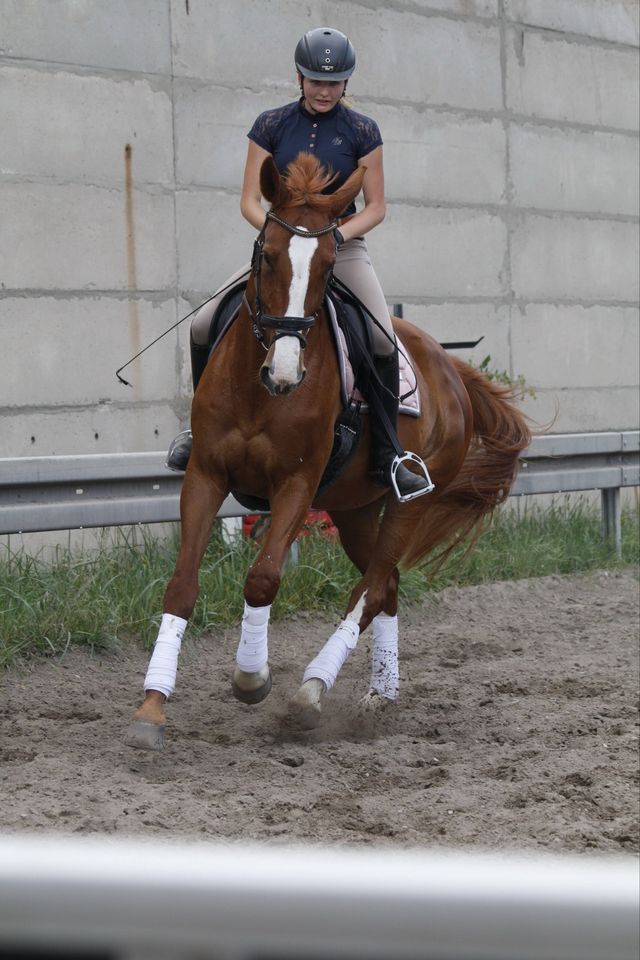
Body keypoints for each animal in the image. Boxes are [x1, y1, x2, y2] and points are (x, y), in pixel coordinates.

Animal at [127, 152, 532, 752]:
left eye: (326, 266)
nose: (285, 374)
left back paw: (310, 693)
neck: (260, 391)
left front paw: (252, 678)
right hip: (354, 508)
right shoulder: (205, 474)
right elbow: (180, 586)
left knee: (372, 586)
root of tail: (450, 367)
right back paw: (379, 696)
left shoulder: (297, 483)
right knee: (387, 587)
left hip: (407, 505)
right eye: (267, 256)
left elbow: (264, 578)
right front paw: (152, 709)